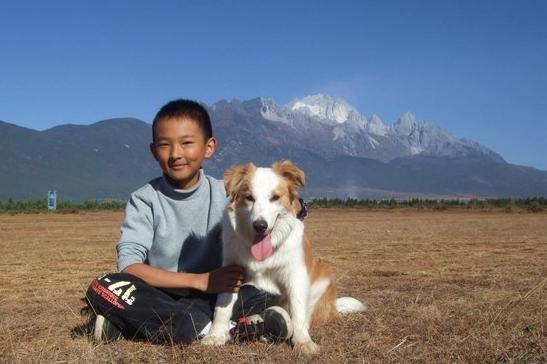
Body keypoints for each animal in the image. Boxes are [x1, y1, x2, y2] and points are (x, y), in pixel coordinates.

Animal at [202, 161, 368, 354]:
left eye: (275, 197)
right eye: (249, 197)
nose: (260, 225)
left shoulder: (296, 274)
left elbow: (298, 310)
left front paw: (302, 341)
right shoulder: (231, 270)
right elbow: (222, 305)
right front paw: (216, 335)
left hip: (322, 278)